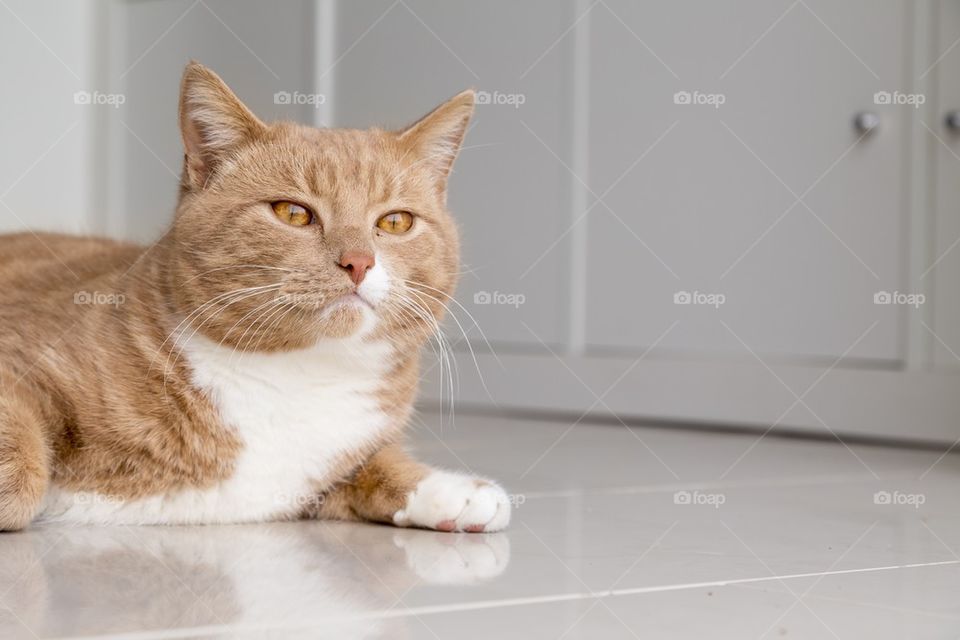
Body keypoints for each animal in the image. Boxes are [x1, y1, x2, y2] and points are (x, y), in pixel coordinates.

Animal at [0, 61, 510, 528]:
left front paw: (451, 490)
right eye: (293, 213)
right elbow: (22, 470)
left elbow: (375, 464)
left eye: (396, 222)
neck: (297, 374)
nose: (358, 261)